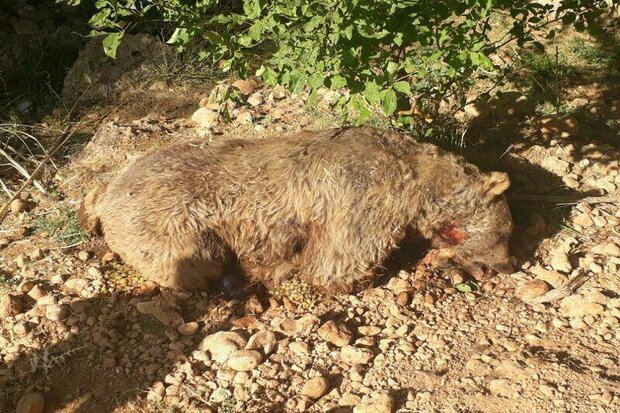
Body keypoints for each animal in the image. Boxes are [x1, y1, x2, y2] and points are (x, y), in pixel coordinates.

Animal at [78, 125, 512, 292]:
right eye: (506, 232)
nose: (508, 265)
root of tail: (104, 194)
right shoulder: (363, 206)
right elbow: (335, 266)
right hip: (170, 228)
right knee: (197, 262)